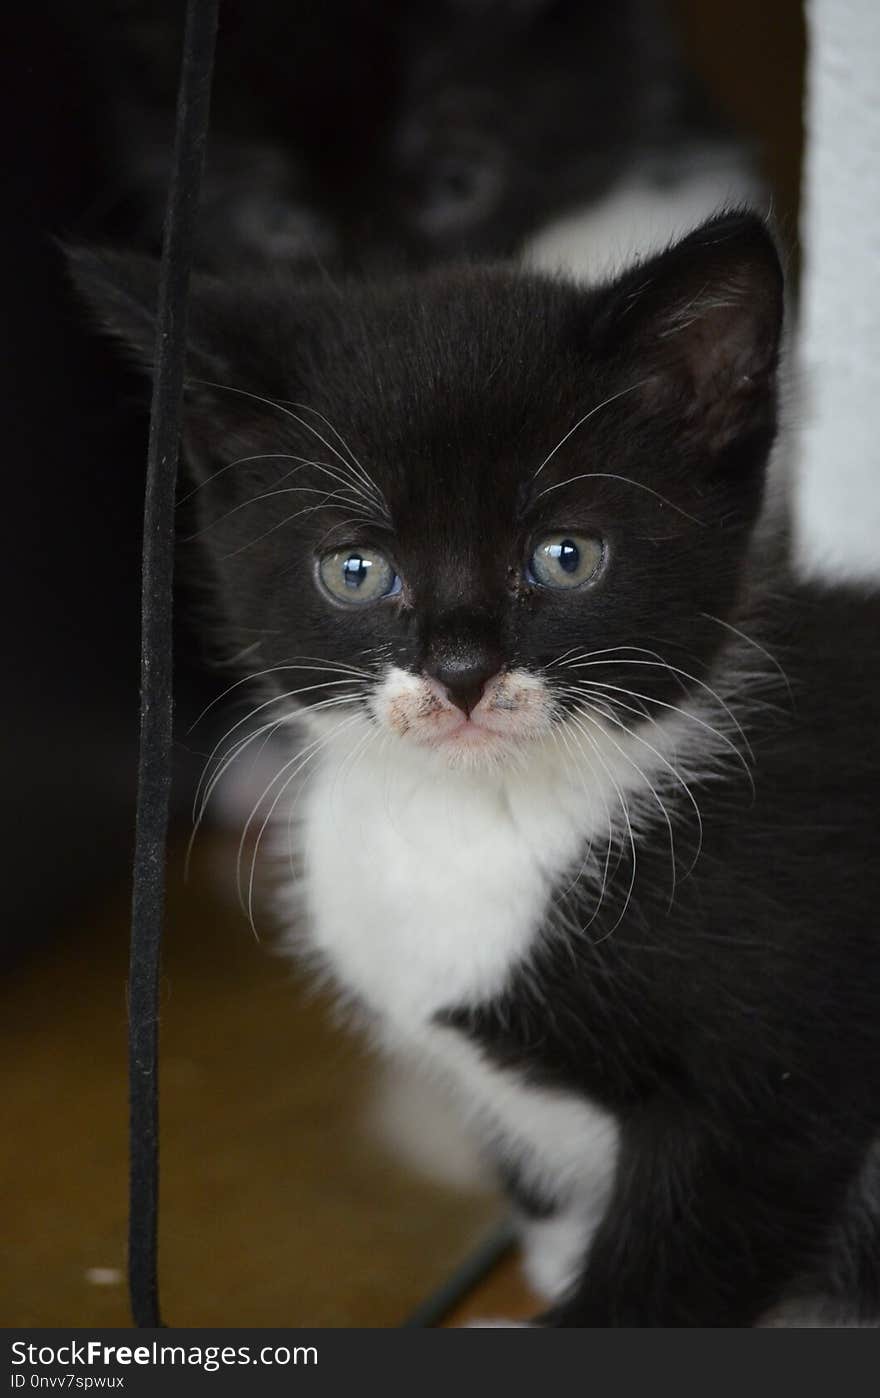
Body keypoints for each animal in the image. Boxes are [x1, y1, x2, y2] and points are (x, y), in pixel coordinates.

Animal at [72, 212, 878, 1325]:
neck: (480, 818)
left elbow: (671, 1269)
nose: (459, 671)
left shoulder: (782, 1078)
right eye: (356, 570)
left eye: (565, 557)